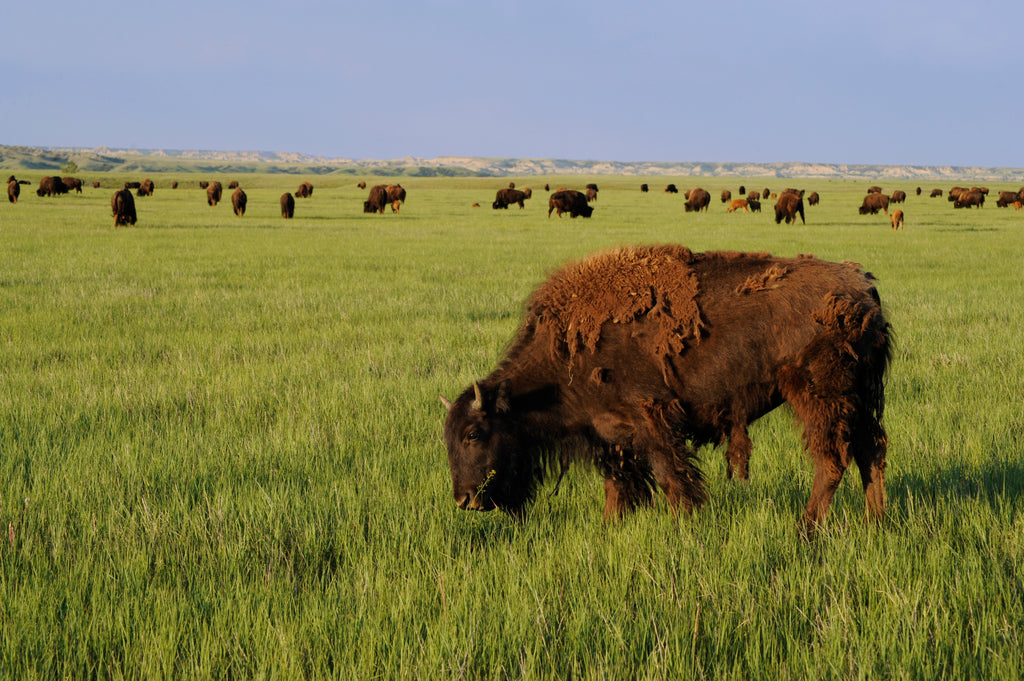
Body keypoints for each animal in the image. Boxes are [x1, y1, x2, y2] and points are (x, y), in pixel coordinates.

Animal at [444, 244, 892, 532]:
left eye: (474, 434)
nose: (463, 500)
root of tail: (863, 287)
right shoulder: (610, 435)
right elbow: (619, 487)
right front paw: (610, 528)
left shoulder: (650, 421)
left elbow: (671, 477)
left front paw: (683, 525)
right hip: (860, 399)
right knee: (870, 453)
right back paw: (875, 524)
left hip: (818, 395)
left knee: (831, 460)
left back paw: (806, 529)